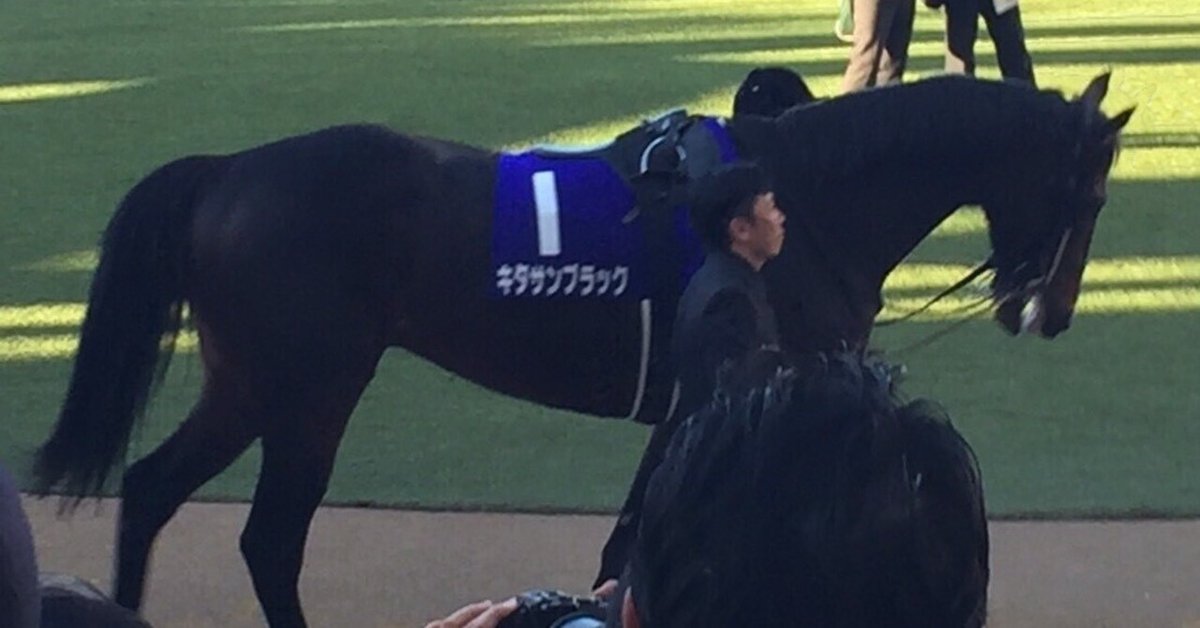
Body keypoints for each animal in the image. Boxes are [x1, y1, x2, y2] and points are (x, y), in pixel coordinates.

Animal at [31, 73, 1130, 627]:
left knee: (154, 488)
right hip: (307, 389)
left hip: (253, 382)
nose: (1048, 311)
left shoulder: (696, 407)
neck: (807, 198)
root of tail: (227, 172)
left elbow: (629, 535)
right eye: (1091, 192)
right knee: (265, 538)